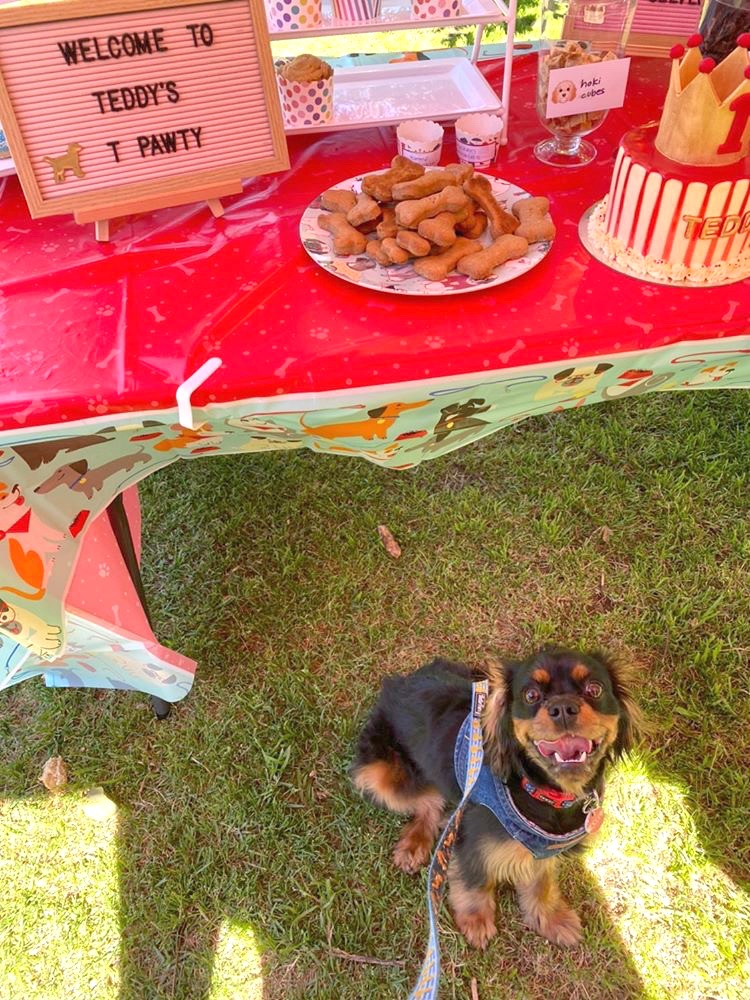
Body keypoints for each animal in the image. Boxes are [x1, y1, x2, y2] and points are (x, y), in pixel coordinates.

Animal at [352, 652, 640, 948]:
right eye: (531, 695)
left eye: (595, 689)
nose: (563, 708)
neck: (541, 790)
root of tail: (397, 683)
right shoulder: (472, 840)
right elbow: (474, 881)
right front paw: (476, 922)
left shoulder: (542, 847)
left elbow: (542, 883)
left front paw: (552, 919)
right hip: (378, 773)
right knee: (429, 801)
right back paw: (413, 846)